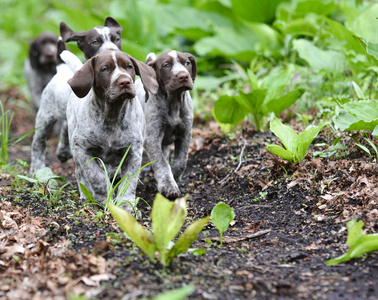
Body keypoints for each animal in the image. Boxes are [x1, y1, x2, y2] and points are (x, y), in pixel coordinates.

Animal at [30, 16, 123, 175]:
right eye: (95, 42)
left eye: (116, 39)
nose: (112, 51)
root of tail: (61, 68)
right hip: (45, 116)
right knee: (38, 142)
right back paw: (37, 168)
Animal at [66, 50, 158, 212]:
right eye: (105, 69)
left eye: (129, 67)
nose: (125, 82)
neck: (112, 116)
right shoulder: (82, 149)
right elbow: (96, 176)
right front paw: (105, 199)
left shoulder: (133, 153)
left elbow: (129, 182)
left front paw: (126, 205)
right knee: (80, 173)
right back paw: (86, 195)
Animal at [136, 49, 196, 199]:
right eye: (166, 65)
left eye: (187, 63)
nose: (183, 76)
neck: (174, 101)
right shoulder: (152, 138)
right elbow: (162, 163)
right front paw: (169, 185)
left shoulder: (185, 134)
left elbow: (181, 161)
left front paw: (175, 176)